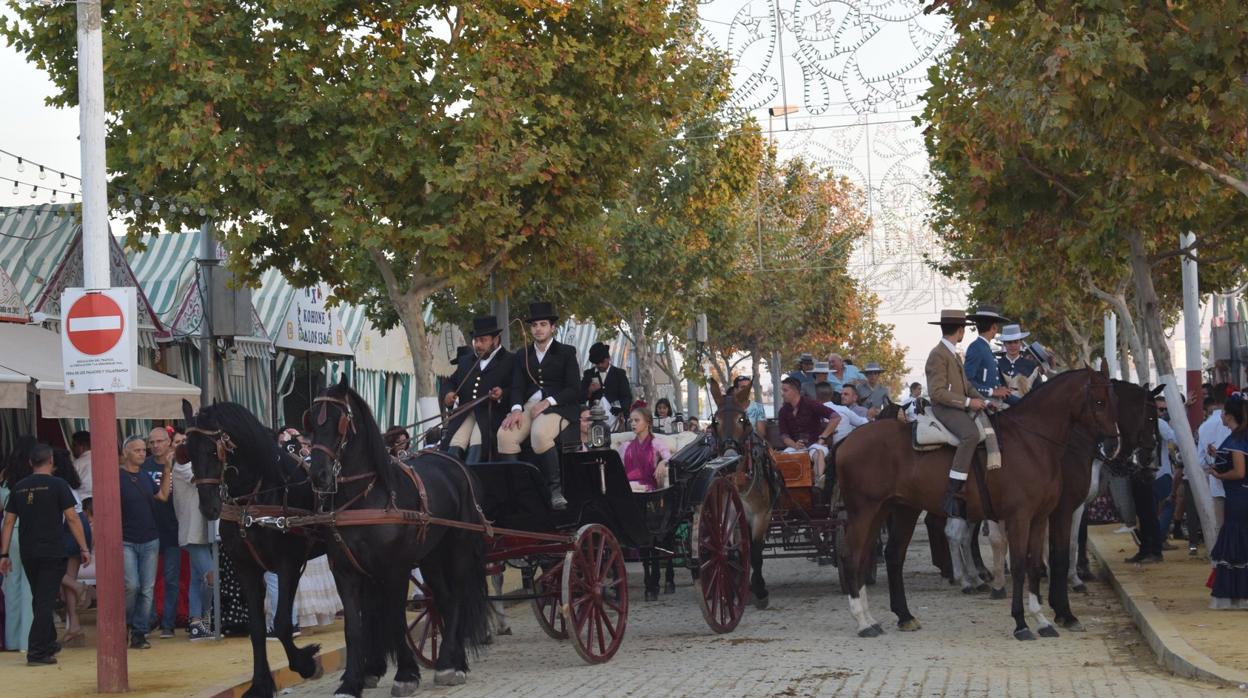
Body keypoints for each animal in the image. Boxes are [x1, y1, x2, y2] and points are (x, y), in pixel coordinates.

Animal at [182, 399, 329, 698]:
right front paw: (260, 683)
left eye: (212, 450)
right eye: (187, 452)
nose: (209, 508)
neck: (257, 497)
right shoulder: (247, 569)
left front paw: (305, 663)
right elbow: (258, 628)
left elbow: (282, 622)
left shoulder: (287, 564)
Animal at [304, 379, 489, 694]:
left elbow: (394, 620)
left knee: (458, 598)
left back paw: (448, 664)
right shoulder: (346, 572)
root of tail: (458, 466)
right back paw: (453, 661)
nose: (318, 475)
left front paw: (405, 675)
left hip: (458, 549)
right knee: (445, 599)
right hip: (431, 557)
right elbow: (355, 627)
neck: (366, 498)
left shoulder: (395, 571)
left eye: (340, 422)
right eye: (312, 421)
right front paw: (351, 681)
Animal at [708, 379, 773, 609]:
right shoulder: (727, 515)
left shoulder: (761, 515)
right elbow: (733, 553)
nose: (729, 454)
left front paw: (760, 589)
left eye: (742, 419)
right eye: (715, 422)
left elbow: (755, 553)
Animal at [833, 369, 1118, 644]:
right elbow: (1019, 565)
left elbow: (1035, 564)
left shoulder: (1039, 517)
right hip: (864, 511)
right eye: (1099, 402)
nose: (1113, 445)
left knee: (886, 555)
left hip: (897, 510)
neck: (1030, 443)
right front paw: (1021, 623)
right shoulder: (1020, 517)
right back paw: (863, 622)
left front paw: (1042, 620)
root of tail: (850, 439)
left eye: (1111, 399)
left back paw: (898, 617)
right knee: (852, 556)